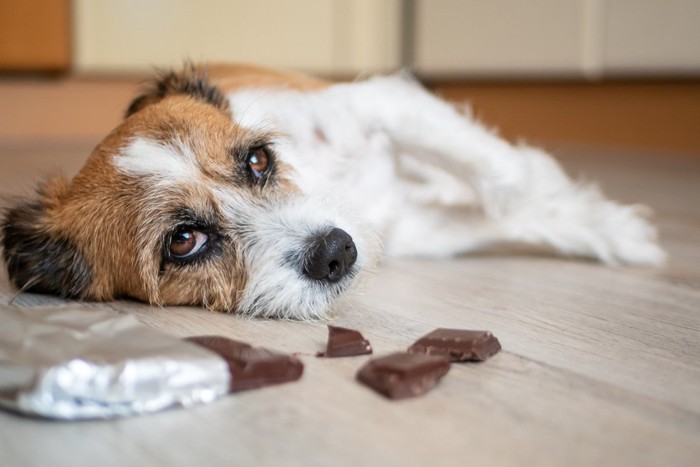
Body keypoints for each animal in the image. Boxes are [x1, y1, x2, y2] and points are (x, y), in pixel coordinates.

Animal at [1, 64, 668, 320]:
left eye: (258, 159)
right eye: (183, 241)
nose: (336, 252)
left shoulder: (382, 103)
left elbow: (506, 179)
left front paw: (609, 226)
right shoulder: (417, 231)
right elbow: (503, 209)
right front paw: (603, 225)